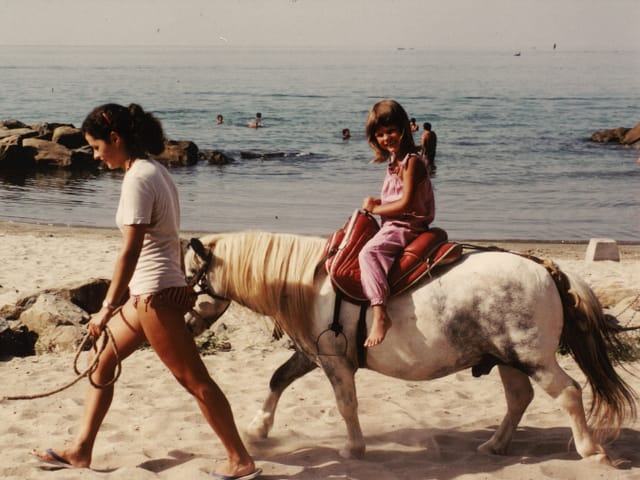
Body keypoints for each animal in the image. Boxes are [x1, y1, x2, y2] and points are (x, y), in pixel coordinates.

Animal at [184, 232, 636, 464]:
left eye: (192, 275)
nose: (186, 323)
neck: (310, 283)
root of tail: (544, 267)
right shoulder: (314, 354)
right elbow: (278, 379)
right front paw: (258, 429)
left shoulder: (334, 361)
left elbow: (346, 405)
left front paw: (353, 448)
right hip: (510, 359)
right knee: (519, 398)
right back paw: (496, 445)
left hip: (533, 359)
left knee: (568, 393)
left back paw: (590, 450)